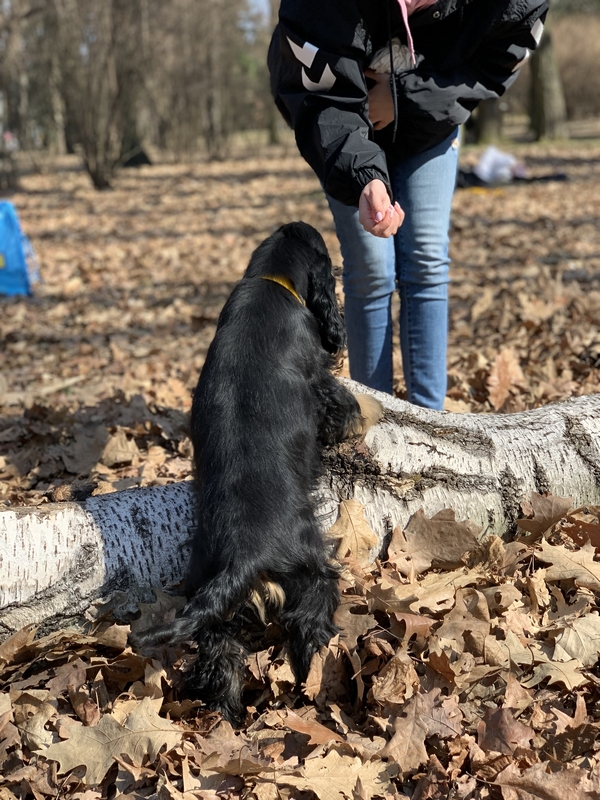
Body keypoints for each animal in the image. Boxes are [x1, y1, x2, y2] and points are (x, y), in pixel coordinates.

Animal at [129, 220, 382, 724]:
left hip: (214, 611)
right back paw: (321, 689)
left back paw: (227, 719)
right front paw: (370, 411)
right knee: (309, 633)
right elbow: (346, 404)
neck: (270, 279)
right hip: (312, 576)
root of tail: (242, 558)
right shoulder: (319, 383)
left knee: (220, 662)